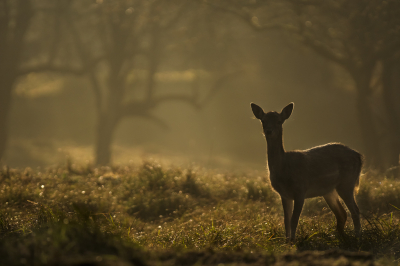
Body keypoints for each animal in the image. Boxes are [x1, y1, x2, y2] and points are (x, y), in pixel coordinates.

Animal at [252, 102, 364, 241]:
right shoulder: (284, 194)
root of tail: (359, 156)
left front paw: (293, 240)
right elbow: (286, 220)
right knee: (342, 213)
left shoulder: (300, 189)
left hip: (347, 183)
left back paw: (357, 236)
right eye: (263, 120)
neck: (284, 169)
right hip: (329, 191)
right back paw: (340, 236)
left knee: (355, 210)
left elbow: (294, 219)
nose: (268, 131)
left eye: (279, 121)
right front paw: (286, 240)